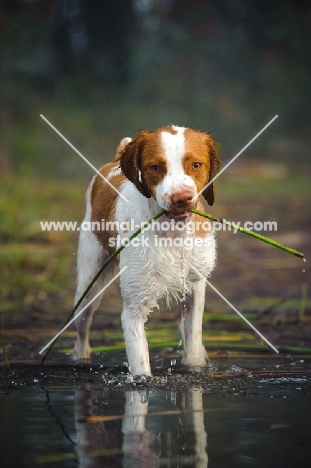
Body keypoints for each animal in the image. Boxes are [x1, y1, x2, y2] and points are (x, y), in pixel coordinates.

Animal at [74, 125, 221, 376]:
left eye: (196, 164)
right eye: (155, 167)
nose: (181, 198)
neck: (172, 236)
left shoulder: (194, 291)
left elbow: (193, 350)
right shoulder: (133, 310)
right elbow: (141, 369)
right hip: (88, 287)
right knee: (82, 328)